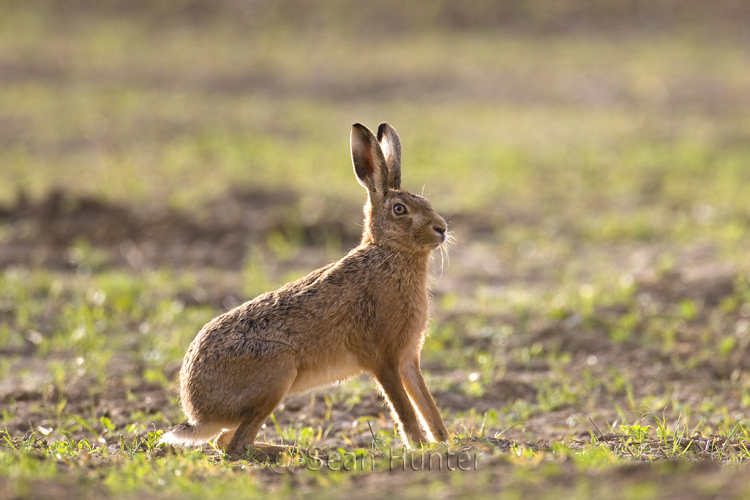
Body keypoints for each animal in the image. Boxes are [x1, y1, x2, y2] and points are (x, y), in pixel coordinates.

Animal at [159, 122, 450, 459]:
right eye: (400, 209)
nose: (441, 228)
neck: (389, 253)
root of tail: (197, 413)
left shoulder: (408, 358)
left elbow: (427, 404)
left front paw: (448, 442)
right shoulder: (383, 358)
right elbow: (404, 409)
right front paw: (419, 448)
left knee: (225, 441)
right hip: (278, 372)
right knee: (235, 447)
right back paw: (302, 453)